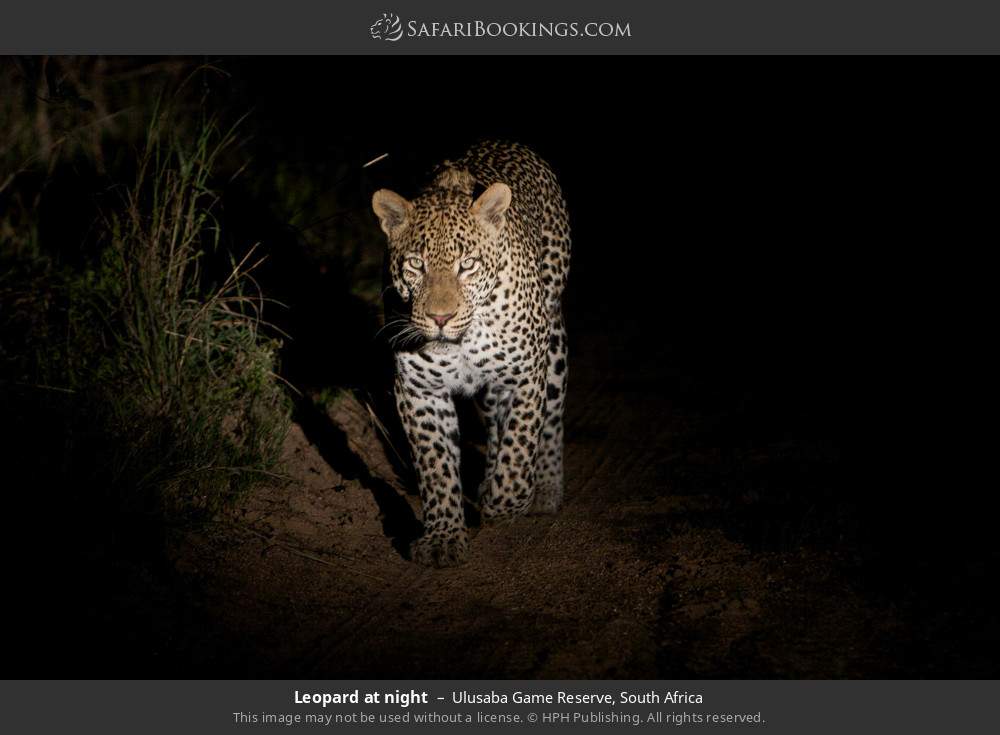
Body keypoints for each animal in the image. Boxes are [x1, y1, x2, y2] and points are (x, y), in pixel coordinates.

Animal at [370, 141, 576, 568]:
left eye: (467, 265)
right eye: (416, 264)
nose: (440, 317)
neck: (463, 340)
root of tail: (504, 141)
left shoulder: (523, 378)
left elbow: (520, 448)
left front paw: (504, 503)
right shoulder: (419, 391)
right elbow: (436, 466)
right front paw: (442, 538)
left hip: (553, 342)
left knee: (549, 414)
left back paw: (545, 491)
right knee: (495, 423)